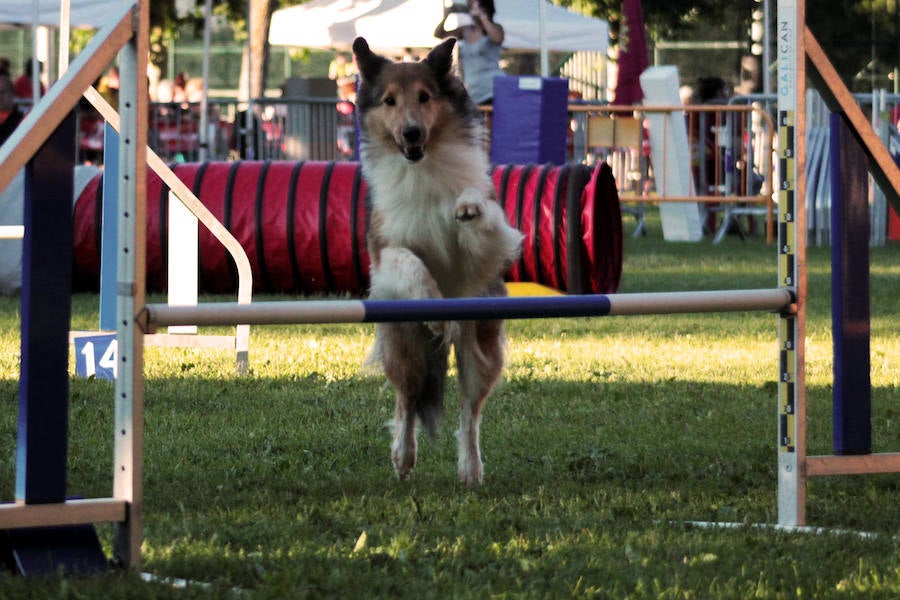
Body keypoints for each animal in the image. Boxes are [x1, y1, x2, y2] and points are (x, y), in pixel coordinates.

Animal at [352, 37, 520, 486]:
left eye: (425, 97)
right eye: (389, 101)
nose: (411, 132)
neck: (421, 167)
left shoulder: (483, 248)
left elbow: (482, 217)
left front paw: (467, 207)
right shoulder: (384, 249)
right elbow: (410, 262)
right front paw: (434, 306)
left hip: (480, 348)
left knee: (469, 413)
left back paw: (471, 469)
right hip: (404, 348)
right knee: (407, 402)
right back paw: (403, 457)